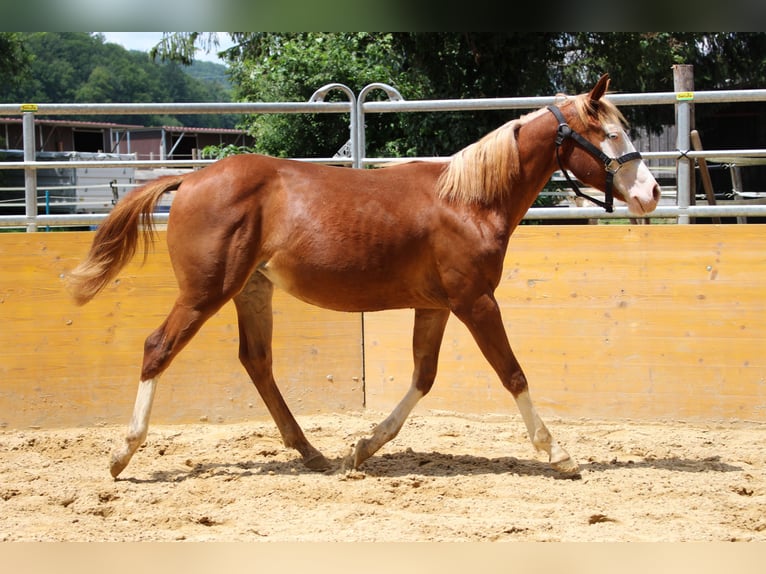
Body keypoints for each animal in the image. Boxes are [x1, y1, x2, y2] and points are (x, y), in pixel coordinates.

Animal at [69, 76, 664, 482]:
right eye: (611, 134)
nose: (652, 194)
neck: (469, 200)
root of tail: (190, 179)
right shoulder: (476, 302)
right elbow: (512, 373)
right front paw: (558, 453)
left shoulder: (437, 306)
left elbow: (424, 377)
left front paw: (363, 447)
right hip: (204, 293)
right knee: (158, 348)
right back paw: (122, 454)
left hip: (251, 291)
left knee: (257, 363)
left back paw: (312, 452)